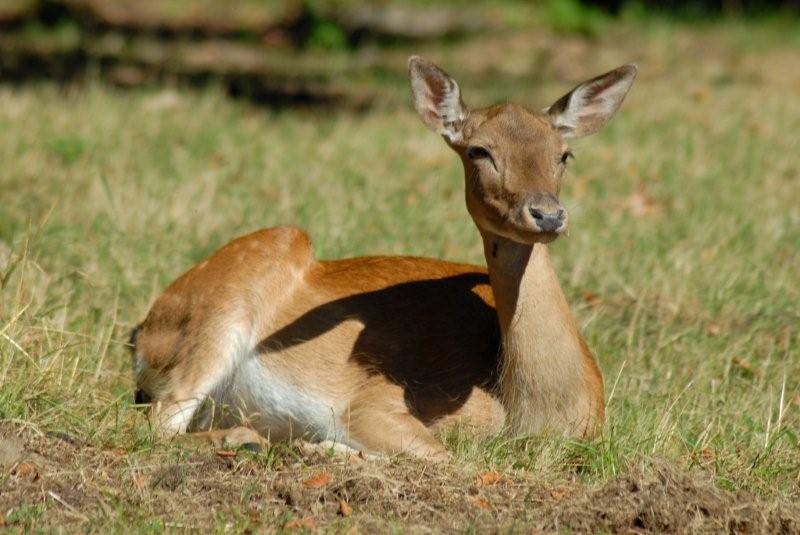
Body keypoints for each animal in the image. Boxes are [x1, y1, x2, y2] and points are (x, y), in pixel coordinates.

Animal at [130, 56, 636, 458]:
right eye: (480, 150)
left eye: (565, 154)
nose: (547, 214)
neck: (528, 411)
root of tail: (142, 333)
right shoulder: (376, 400)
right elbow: (445, 456)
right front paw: (320, 448)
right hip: (226, 306)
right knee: (156, 425)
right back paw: (252, 440)